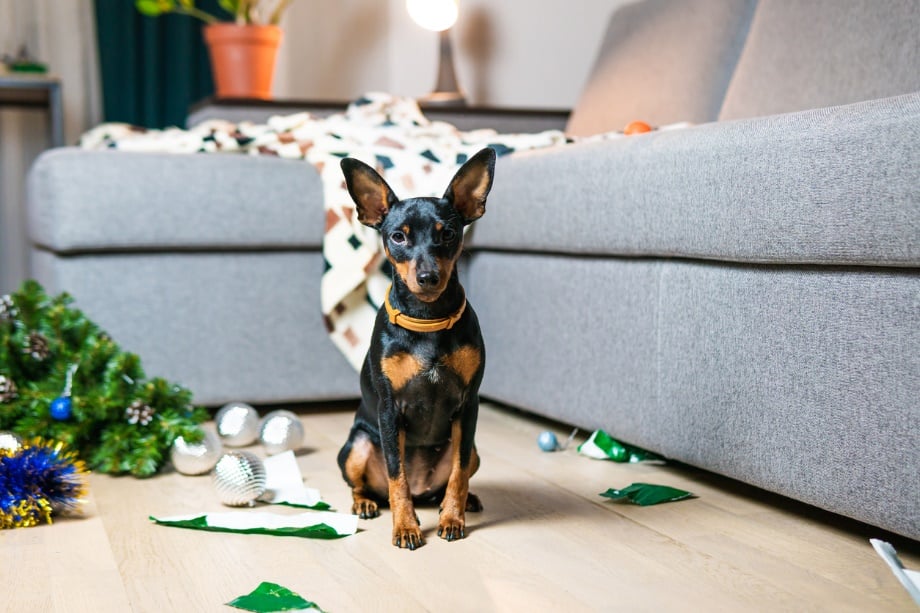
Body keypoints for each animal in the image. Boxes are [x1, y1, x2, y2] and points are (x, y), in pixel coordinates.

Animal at [336, 147, 496, 548]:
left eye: (448, 234)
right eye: (398, 237)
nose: (428, 277)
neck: (428, 320)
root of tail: (425, 491)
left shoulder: (468, 407)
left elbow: (458, 473)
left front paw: (452, 519)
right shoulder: (391, 410)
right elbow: (398, 477)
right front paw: (406, 527)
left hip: (473, 449)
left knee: (453, 477)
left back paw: (461, 502)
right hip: (357, 445)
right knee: (367, 486)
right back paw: (365, 504)